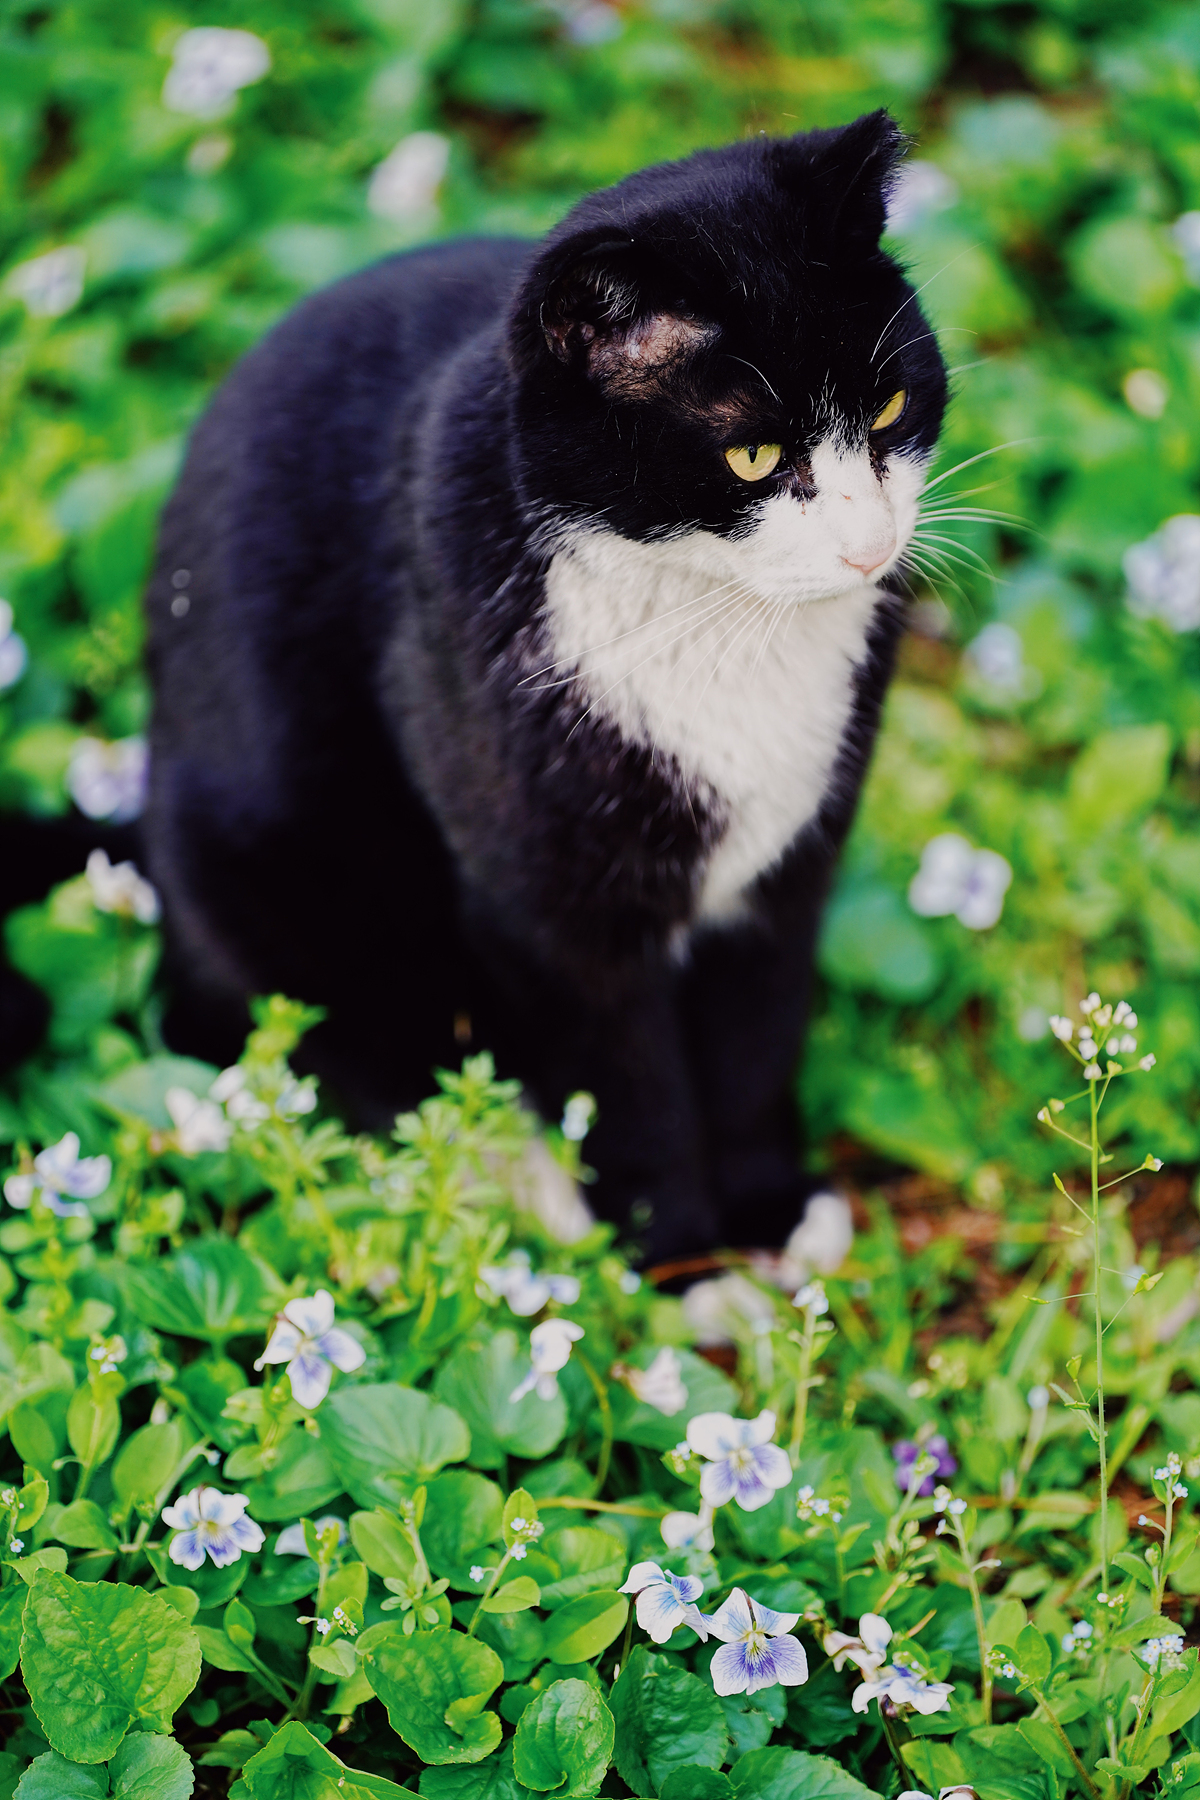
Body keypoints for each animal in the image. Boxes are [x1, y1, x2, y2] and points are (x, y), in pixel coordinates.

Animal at [141, 108, 949, 1252]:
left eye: (888, 405)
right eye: (752, 456)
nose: (869, 547)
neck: (720, 627)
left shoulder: (793, 866)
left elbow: (756, 1038)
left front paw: (770, 1215)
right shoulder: (551, 911)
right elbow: (628, 1087)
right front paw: (679, 1257)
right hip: (270, 870)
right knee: (321, 1053)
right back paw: (521, 1185)